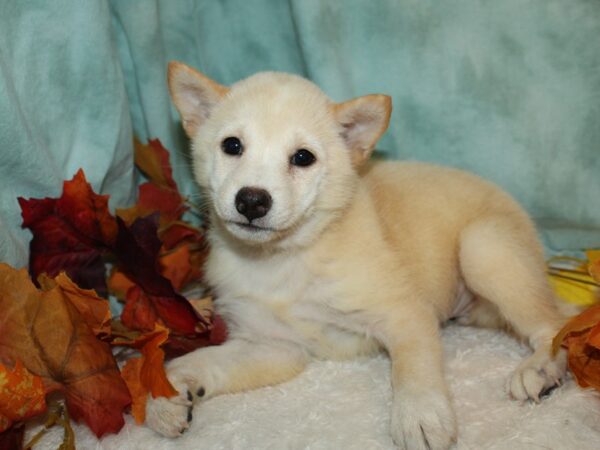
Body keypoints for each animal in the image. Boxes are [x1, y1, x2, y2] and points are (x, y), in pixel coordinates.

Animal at [145, 60, 568, 450]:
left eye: (303, 157)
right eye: (232, 145)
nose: (251, 201)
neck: (283, 261)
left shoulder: (405, 315)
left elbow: (413, 369)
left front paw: (420, 415)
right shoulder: (272, 346)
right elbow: (198, 360)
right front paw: (167, 393)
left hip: (482, 250)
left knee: (554, 327)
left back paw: (541, 370)